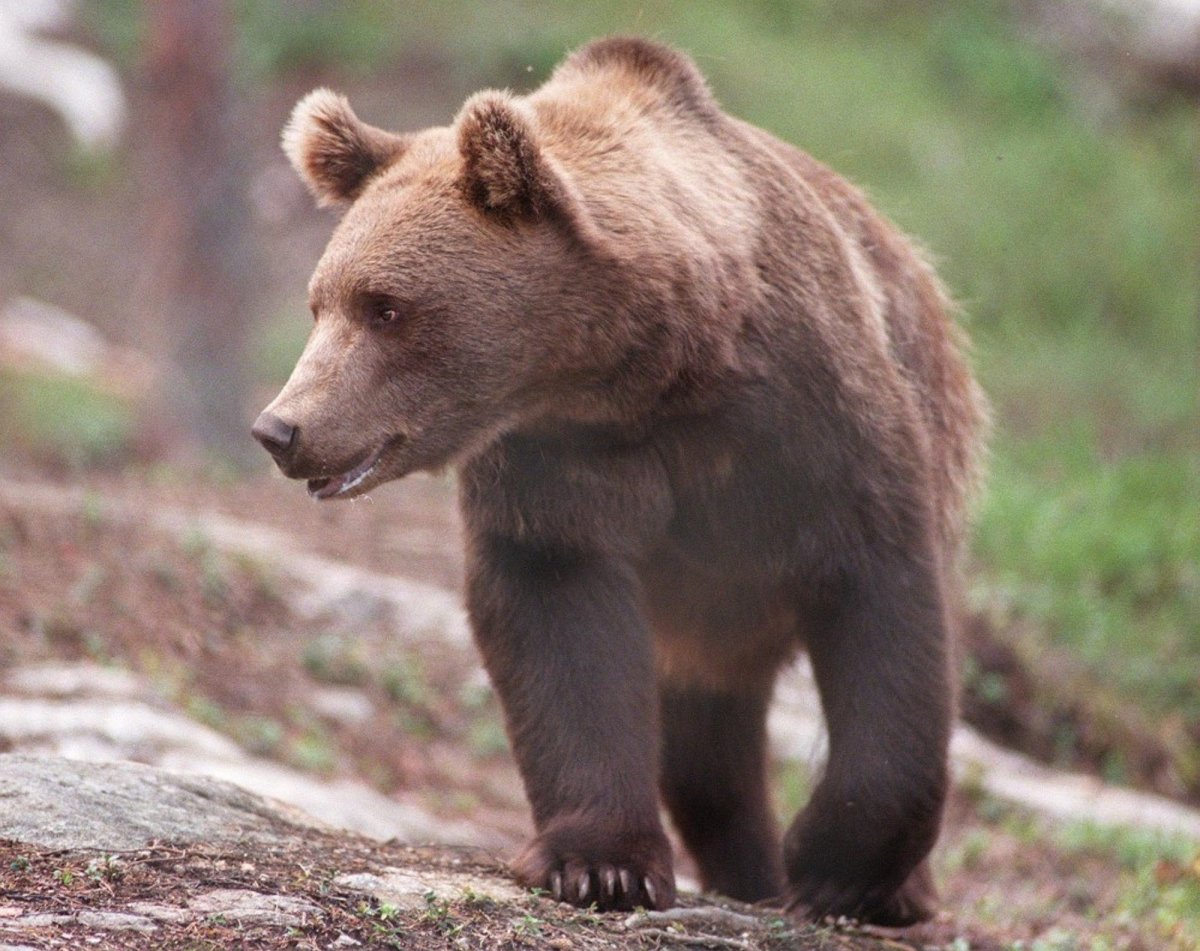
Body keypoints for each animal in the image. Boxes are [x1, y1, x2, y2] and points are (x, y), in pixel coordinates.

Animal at [253, 37, 988, 926]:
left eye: (385, 306)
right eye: (319, 303)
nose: (282, 429)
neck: (648, 372)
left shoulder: (815, 428)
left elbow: (885, 604)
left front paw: (837, 869)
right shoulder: (555, 464)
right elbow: (561, 623)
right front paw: (603, 863)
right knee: (709, 733)